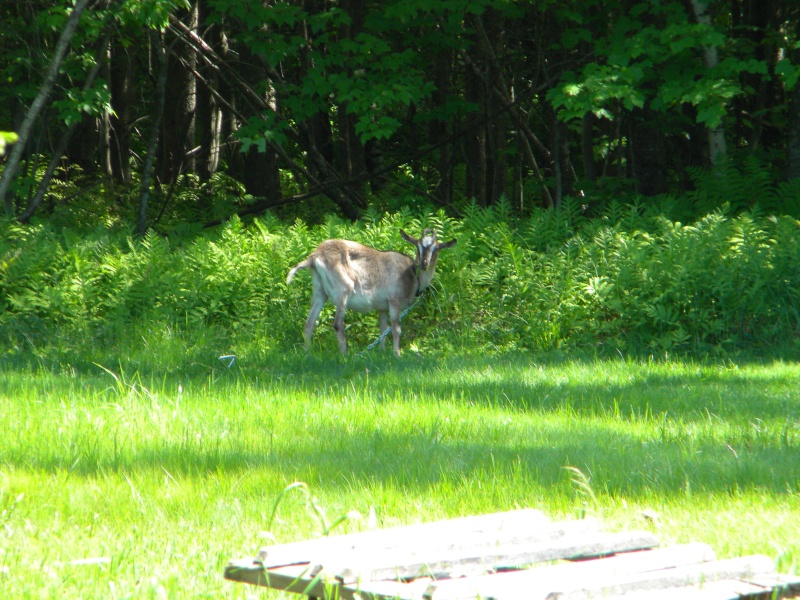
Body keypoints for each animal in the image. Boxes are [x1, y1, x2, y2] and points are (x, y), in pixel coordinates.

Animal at [288, 227, 456, 354]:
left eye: (436, 248)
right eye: (418, 246)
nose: (424, 263)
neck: (412, 274)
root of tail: (313, 256)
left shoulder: (382, 308)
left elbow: (382, 330)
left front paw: (382, 352)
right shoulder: (394, 301)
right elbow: (396, 329)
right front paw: (397, 354)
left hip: (319, 290)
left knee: (309, 323)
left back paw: (307, 353)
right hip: (343, 290)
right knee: (338, 324)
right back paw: (344, 355)